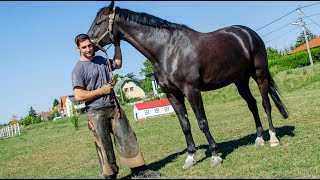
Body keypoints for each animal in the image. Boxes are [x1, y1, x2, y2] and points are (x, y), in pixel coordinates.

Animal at [87, 0, 288, 168]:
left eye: (98, 22)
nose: (85, 42)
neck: (166, 50)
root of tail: (248, 33)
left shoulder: (191, 90)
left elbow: (202, 122)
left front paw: (215, 155)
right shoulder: (172, 95)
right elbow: (185, 125)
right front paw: (190, 157)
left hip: (259, 74)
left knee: (265, 103)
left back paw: (273, 138)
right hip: (240, 80)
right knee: (252, 105)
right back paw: (259, 138)